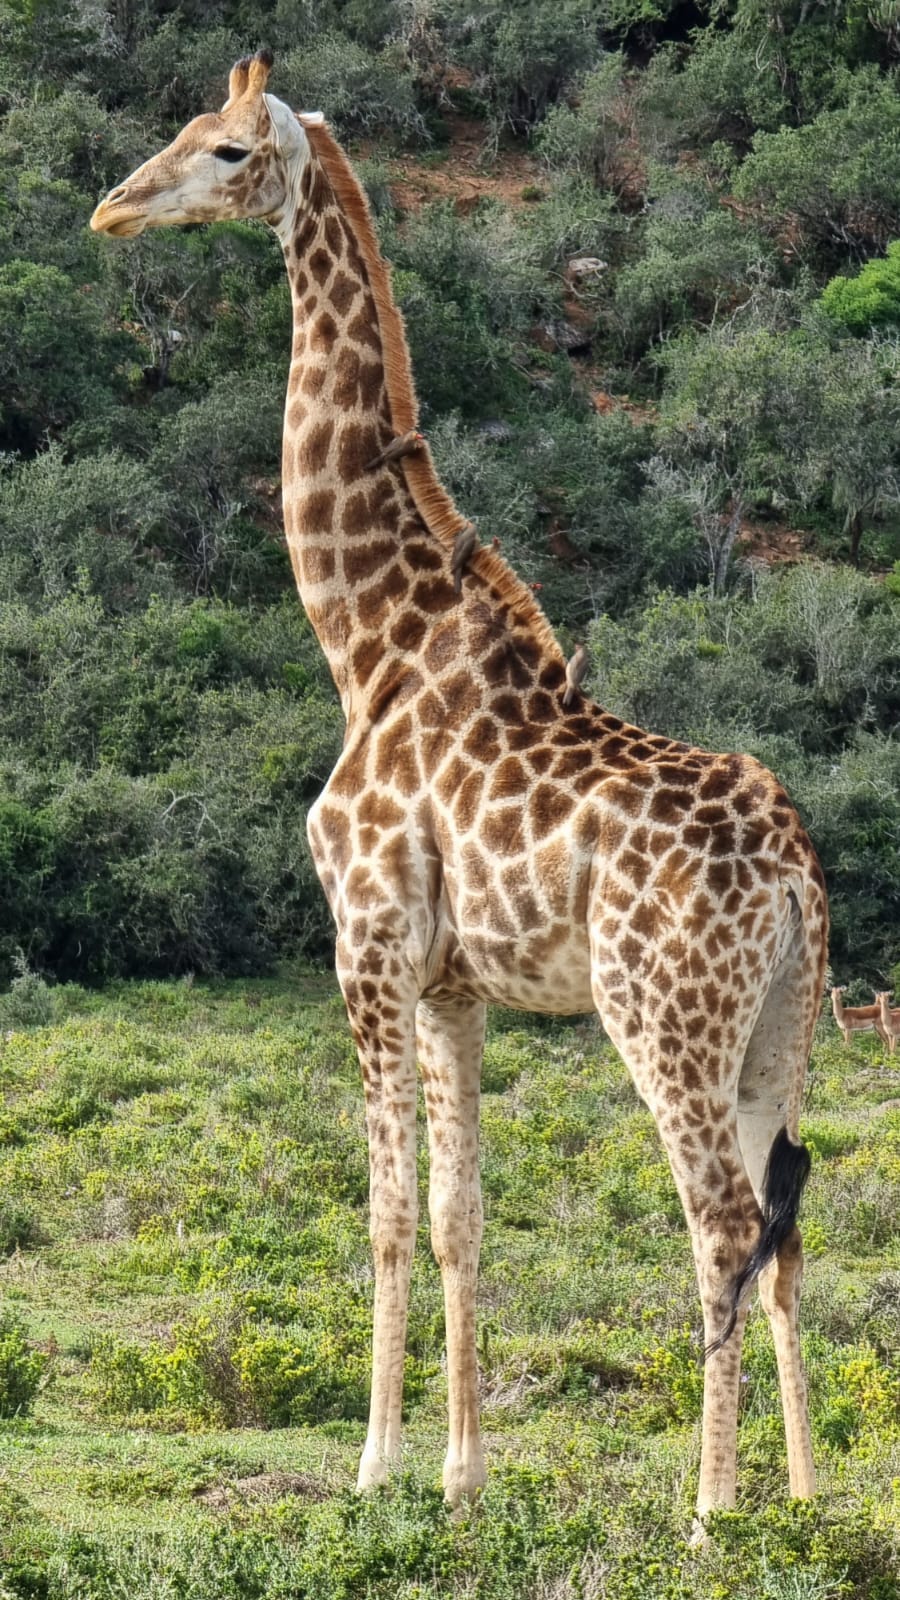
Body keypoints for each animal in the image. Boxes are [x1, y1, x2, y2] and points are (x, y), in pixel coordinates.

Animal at [91, 46, 826, 1523]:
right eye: (182, 132)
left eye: (224, 150)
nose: (112, 209)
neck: (366, 637)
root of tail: (788, 873)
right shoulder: (451, 983)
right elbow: (457, 1218)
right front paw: (462, 1475)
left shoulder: (366, 943)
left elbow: (380, 1212)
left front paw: (377, 1469)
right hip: (783, 1027)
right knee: (784, 1228)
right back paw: (804, 1498)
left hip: (662, 1019)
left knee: (720, 1222)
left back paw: (709, 1514)